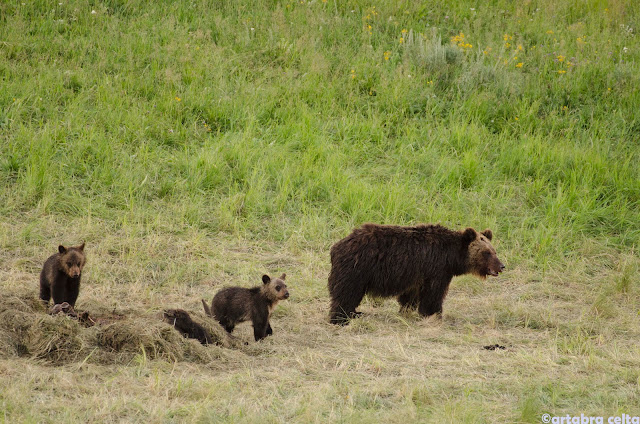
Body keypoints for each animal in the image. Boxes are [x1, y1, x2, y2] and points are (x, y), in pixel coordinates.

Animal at [330, 225, 504, 324]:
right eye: (486, 252)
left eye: (494, 251)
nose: (502, 266)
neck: (451, 257)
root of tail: (338, 245)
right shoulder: (436, 269)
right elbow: (433, 295)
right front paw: (434, 314)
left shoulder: (417, 274)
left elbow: (410, 295)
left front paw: (406, 311)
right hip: (358, 269)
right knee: (346, 294)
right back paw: (341, 318)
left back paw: (354, 314)